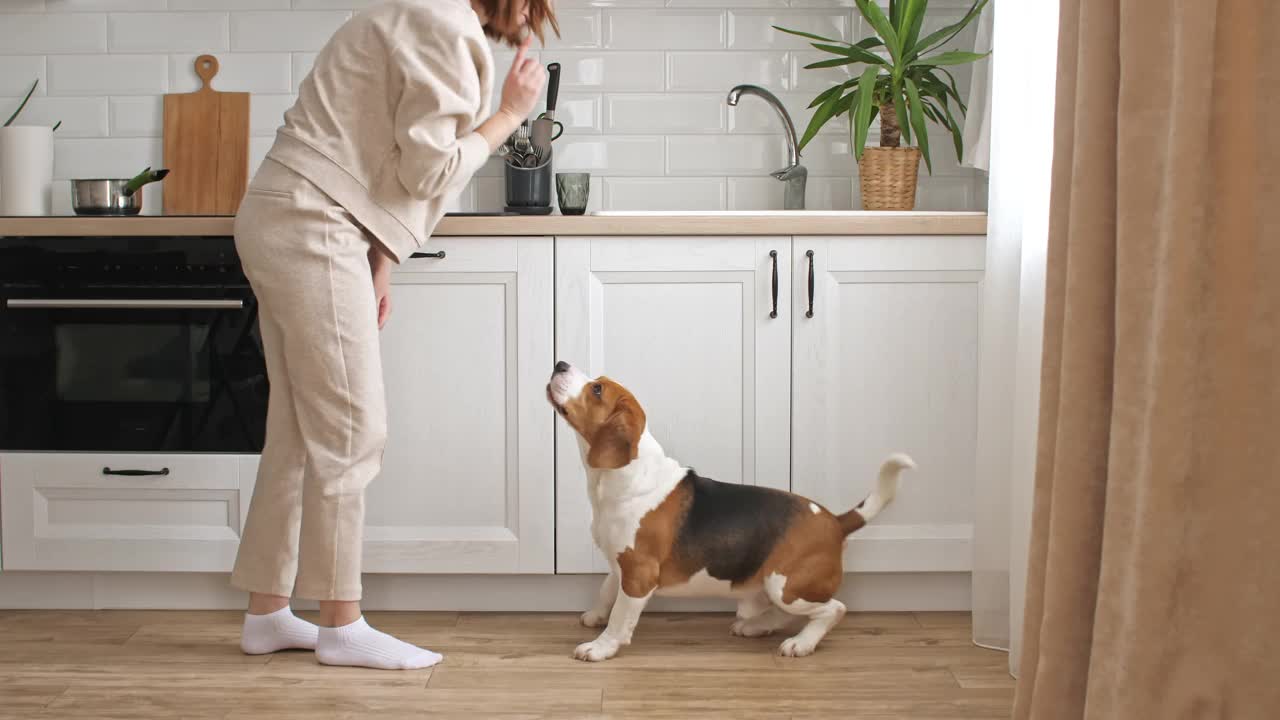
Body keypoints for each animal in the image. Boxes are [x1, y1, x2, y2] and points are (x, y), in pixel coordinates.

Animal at [545, 361, 916, 661]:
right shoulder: (620, 563)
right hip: (773, 588)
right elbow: (607, 589)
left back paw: (801, 643)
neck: (626, 476)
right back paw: (758, 625)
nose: (559, 363)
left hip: (785, 585)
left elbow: (621, 615)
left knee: (832, 609)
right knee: (791, 613)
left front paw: (601, 646)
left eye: (597, 389)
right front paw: (595, 614)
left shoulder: (639, 572)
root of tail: (834, 521)